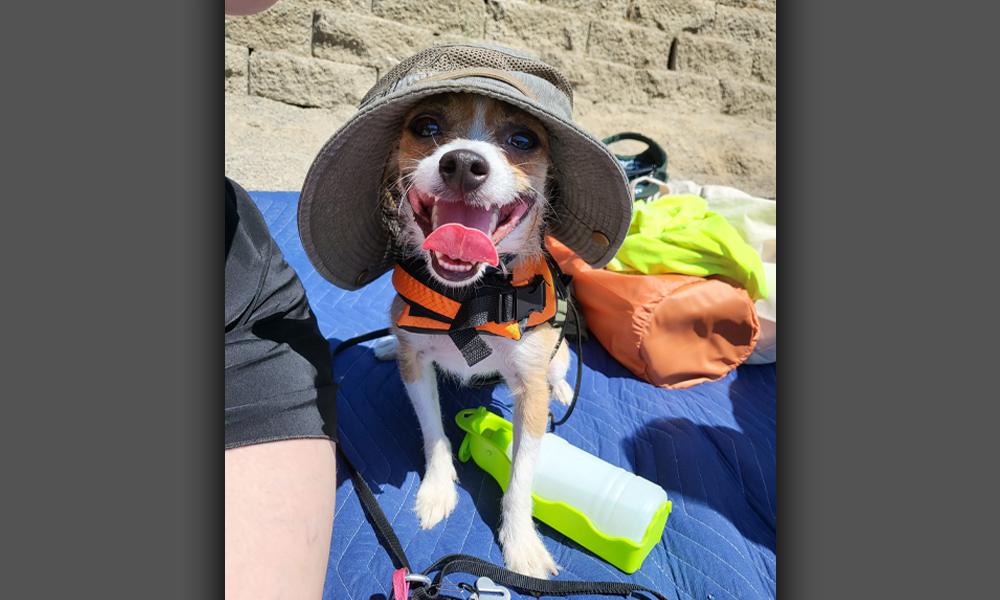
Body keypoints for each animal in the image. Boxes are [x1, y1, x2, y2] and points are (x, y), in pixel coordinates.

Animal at [372, 92, 576, 576]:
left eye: (523, 139)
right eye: (425, 126)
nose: (463, 162)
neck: (473, 298)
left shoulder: (529, 393)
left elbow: (521, 476)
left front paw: (521, 543)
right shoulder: (415, 365)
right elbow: (433, 431)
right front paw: (437, 490)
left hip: (558, 357)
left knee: (560, 369)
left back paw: (563, 389)